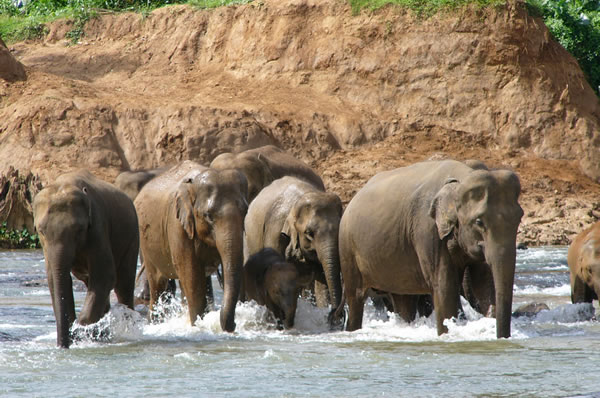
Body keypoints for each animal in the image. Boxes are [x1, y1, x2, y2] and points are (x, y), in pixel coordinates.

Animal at [33, 169, 139, 346]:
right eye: (41, 231)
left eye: (79, 229)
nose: (62, 346)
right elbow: (55, 280)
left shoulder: (98, 227)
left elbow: (105, 275)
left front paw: (79, 331)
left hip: (132, 237)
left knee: (123, 284)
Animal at [134, 160, 248, 332]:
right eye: (208, 216)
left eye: (245, 211)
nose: (233, 325)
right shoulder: (177, 226)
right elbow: (192, 276)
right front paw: (198, 325)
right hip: (146, 242)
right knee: (158, 286)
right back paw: (154, 323)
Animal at [340, 160, 524, 338]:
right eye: (479, 222)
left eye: (519, 219)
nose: (503, 337)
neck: (461, 177)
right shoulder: (427, 229)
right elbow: (444, 286)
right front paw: (446, 333)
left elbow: (483, 283)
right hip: (348, 249)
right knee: (356, 298)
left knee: (403, 300)